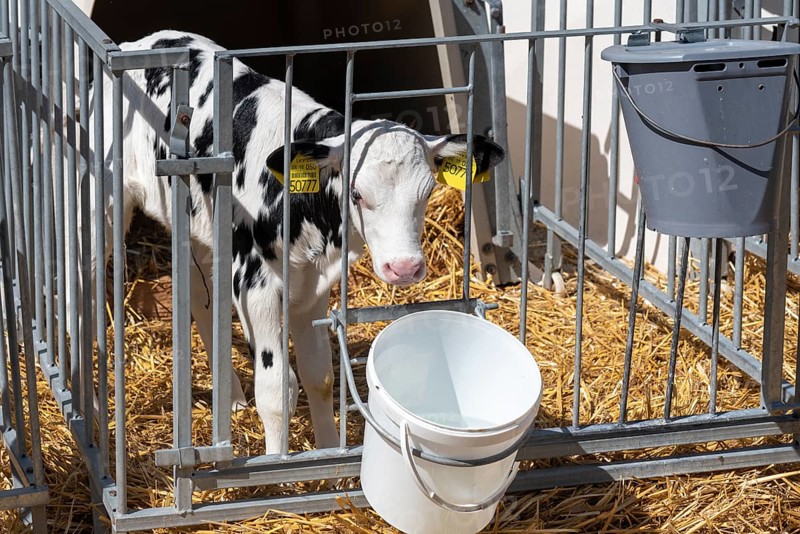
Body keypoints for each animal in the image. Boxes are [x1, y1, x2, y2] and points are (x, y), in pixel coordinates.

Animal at [91, 30, 505, 455]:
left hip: (199, 230)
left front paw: (328, 454)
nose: (404, 267)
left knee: (200, 299)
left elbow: (319, 376)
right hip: (104, 200)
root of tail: (142, 42)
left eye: (428, 192)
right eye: (356, 194)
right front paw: (277, 464)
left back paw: (231, 396)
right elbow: (277, 391)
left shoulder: (313, 284)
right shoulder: (255, 284)